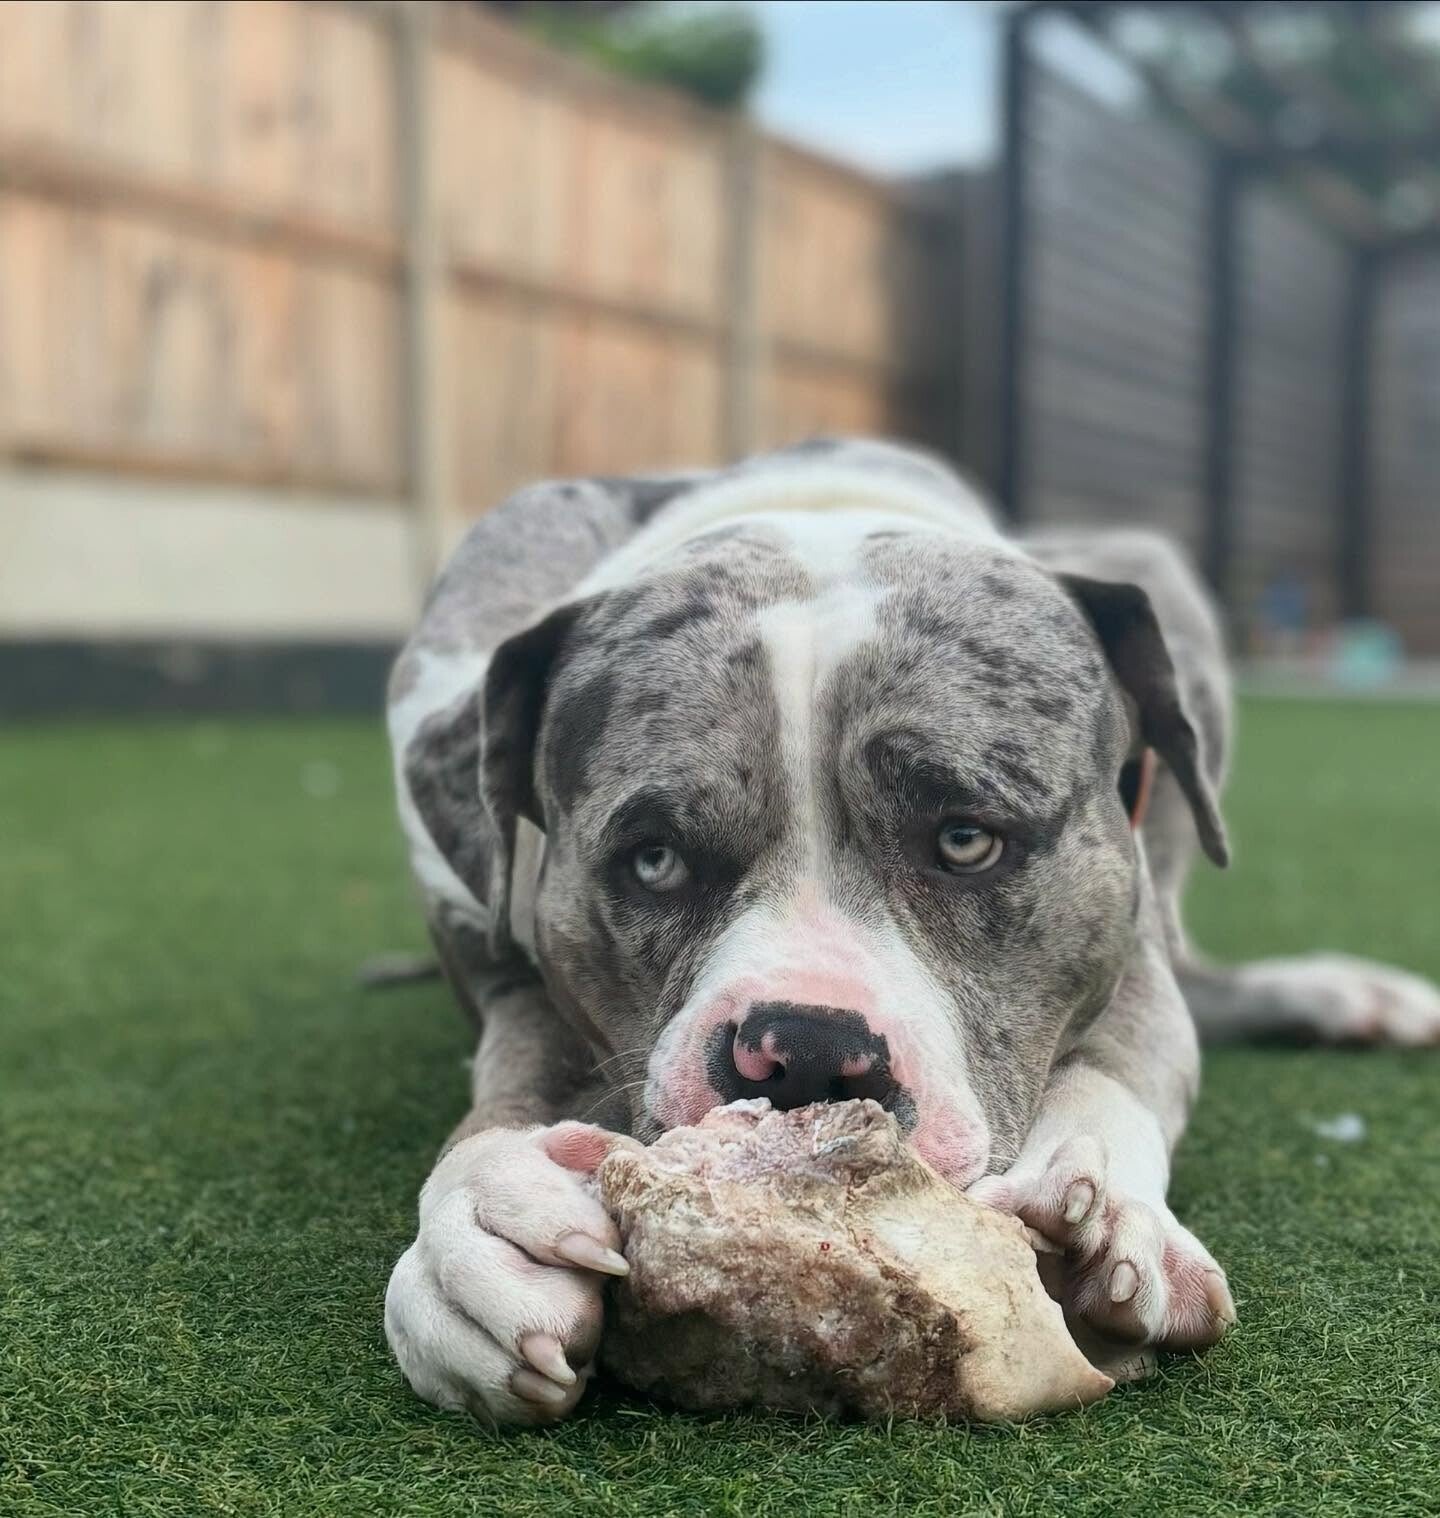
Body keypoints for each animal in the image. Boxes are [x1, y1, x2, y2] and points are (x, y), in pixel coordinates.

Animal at [382, 437, 1440, 1424]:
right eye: (654, 859)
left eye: (967, 840)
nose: (808, 1054)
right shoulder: (497, 954)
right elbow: (514, 1074)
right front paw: (478, 1217)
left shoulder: (1123, 930)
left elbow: (1124, 1056)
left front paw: (1104, 1200)